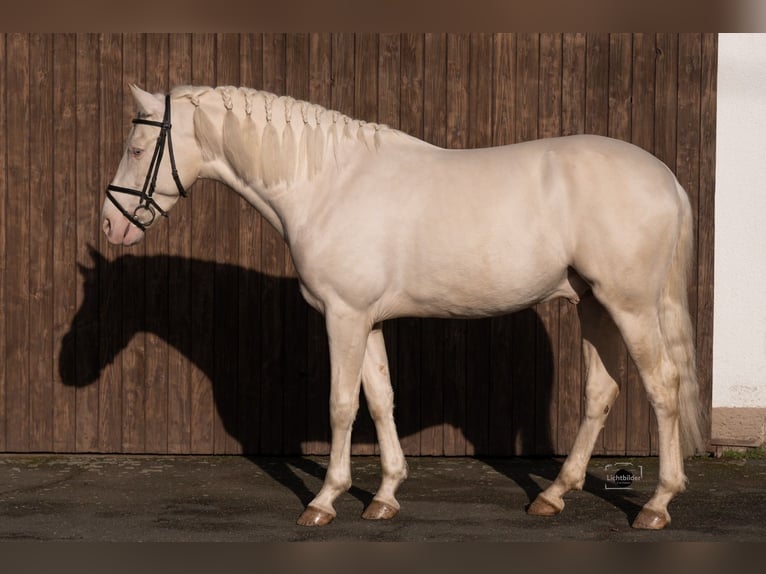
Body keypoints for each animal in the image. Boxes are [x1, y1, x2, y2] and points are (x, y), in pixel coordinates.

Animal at [102, 84, 708, 532]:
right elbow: (380, 399)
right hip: (595, 306)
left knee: (663, 387)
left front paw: (324, 501)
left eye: (136, 149)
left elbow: (341, 405)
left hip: (630, 307)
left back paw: (657, 505)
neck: (328, 183)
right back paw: (554, 495)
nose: (110, 225)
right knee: (600, 393)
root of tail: (667, 179)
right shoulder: (366, 320)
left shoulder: (343, 317)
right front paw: (385, 495)